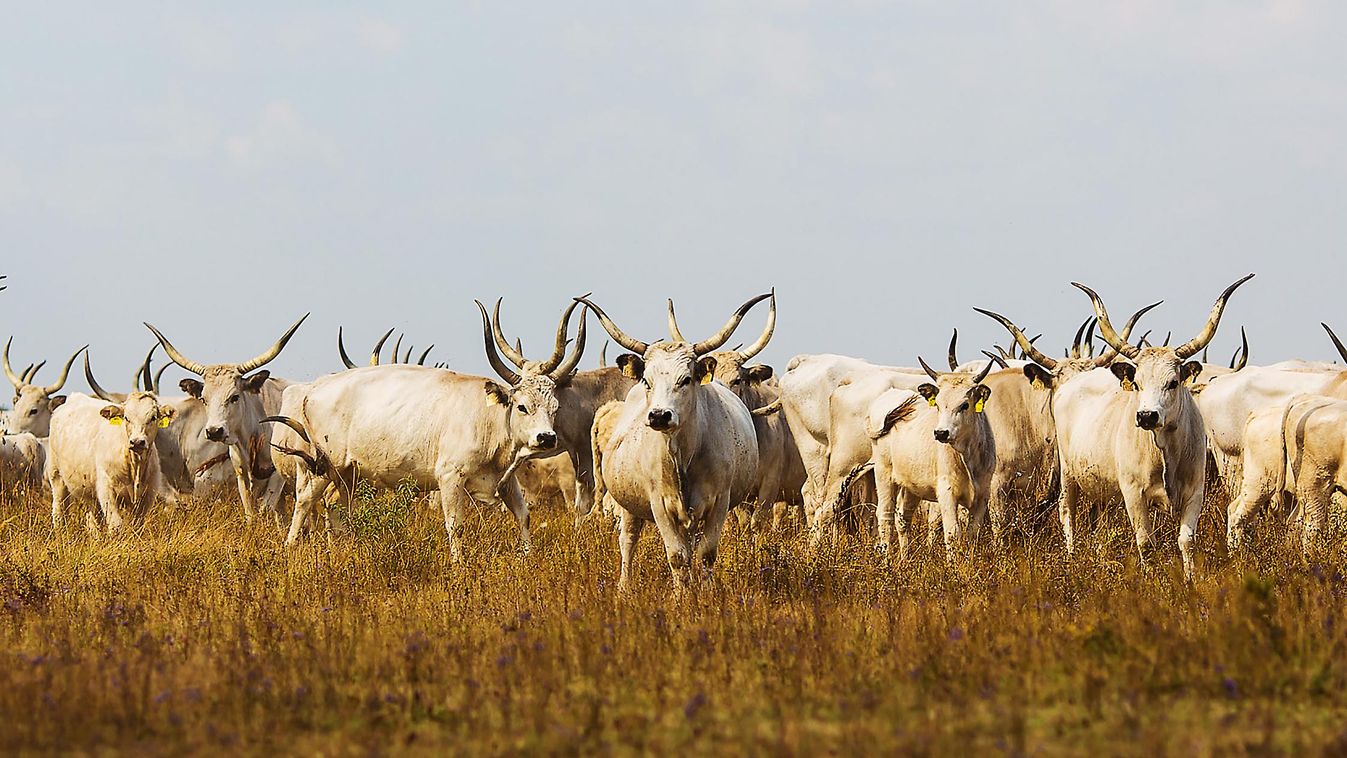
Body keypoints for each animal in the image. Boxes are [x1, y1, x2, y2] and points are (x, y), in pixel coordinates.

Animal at [47, 358, 175, 535]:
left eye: (153, 417)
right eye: (126, 417)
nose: (137, 442)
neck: (133, 464)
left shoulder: (147, 496)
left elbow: (136, 526)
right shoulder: (107, 492)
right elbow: (116, 526)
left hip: (90, 493)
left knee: (93, 519)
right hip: (57, 477)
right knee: (59, 512)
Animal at [142, 315, 309, 522]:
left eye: (234, 396)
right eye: (203, 398)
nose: (214, 431)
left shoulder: (276, 478)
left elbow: (266, 509)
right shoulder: (241, 477)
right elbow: (251, 514)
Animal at [262, 300, 584, 554]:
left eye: (554, 407)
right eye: (522, 406)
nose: (546, 438)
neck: (489, 419)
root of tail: (314, 389)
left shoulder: (506, 481)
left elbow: (523, 515)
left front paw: (528, 557)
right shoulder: (450, 478)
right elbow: (455, 525)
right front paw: (459, 566)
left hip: (348, 475)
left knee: (338, 508)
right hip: (322, 467)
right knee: (304, 501)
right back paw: (291, 547)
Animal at [579, 293, 770, 589]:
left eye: (686, 379)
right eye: (647, 380)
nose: (659, 415)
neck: (683, 454)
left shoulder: (720, 502)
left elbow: (706, 554)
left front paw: (707, 592)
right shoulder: (660, 504)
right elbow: (677, 557)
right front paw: (681, 595)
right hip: (628, 504)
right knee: (628, 540)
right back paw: (624, 586)